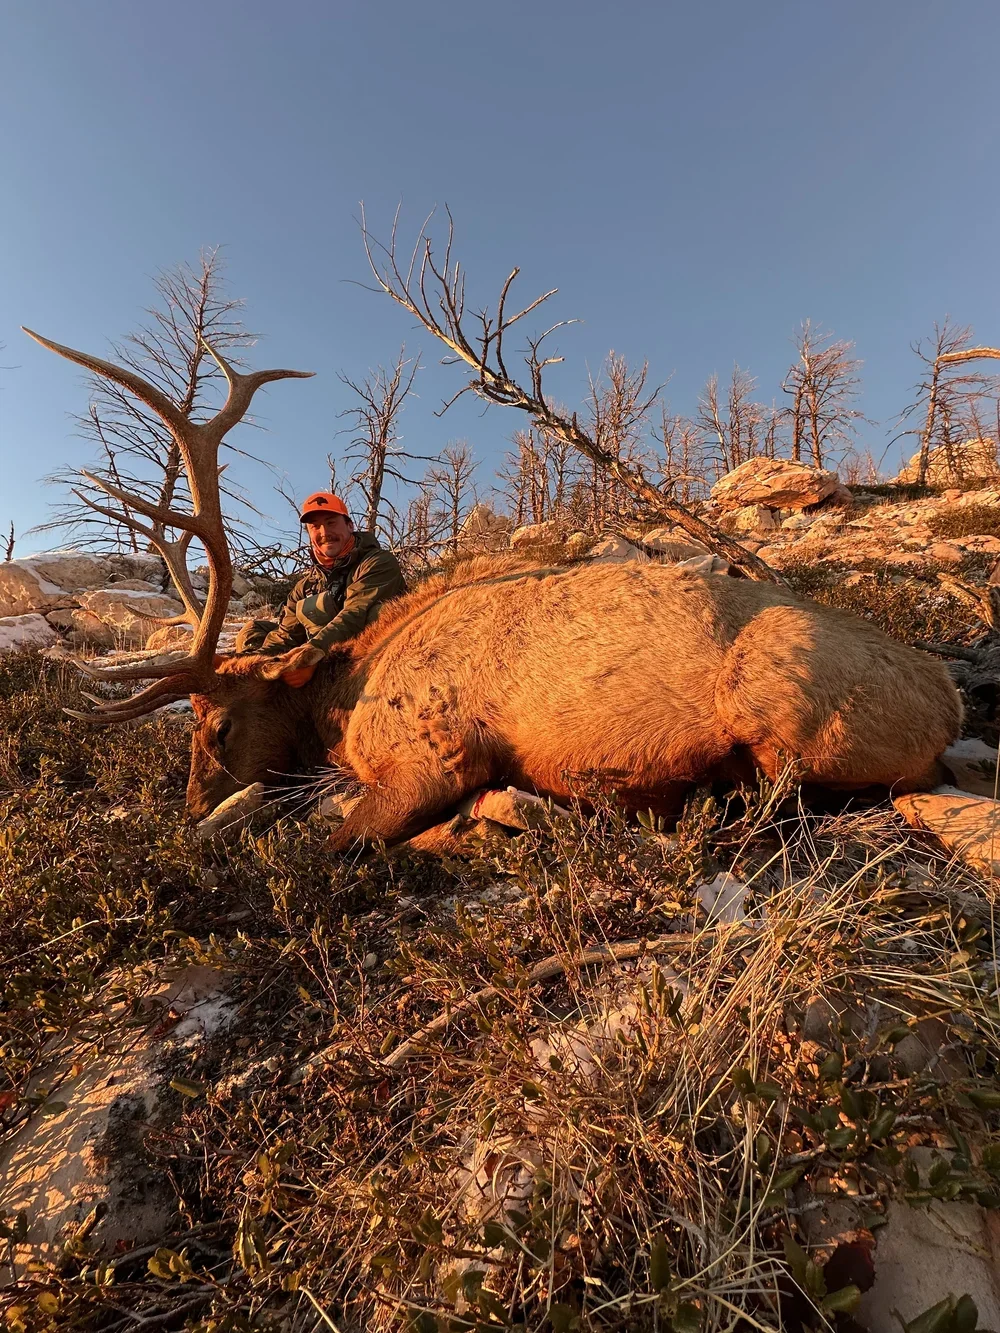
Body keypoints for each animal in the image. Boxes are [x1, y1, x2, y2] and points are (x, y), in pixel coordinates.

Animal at [23, 317, 963, 855]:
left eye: (216, 725)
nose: (188, 813)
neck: (340, 700)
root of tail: (948, 703)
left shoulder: (435, 752)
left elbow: (333, 843)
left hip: (787, 712)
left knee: (779, 802)